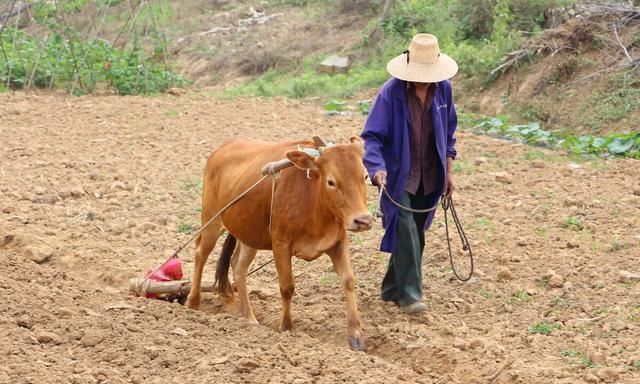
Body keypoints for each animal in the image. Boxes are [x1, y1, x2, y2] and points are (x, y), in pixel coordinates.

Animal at [185, 136, 372, 350]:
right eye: (331, 181)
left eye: (365, 176)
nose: (363, 220)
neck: (314, 202)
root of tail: (225, 146)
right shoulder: (280, 244)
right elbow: (287, 287)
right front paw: (286, 327)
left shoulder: (338, 242)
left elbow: (348, 281)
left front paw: (356, 336)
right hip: (212, 221)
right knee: (201, 253)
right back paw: (193, 302)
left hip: (248, 234)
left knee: (238, 266)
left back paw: (249, 318)